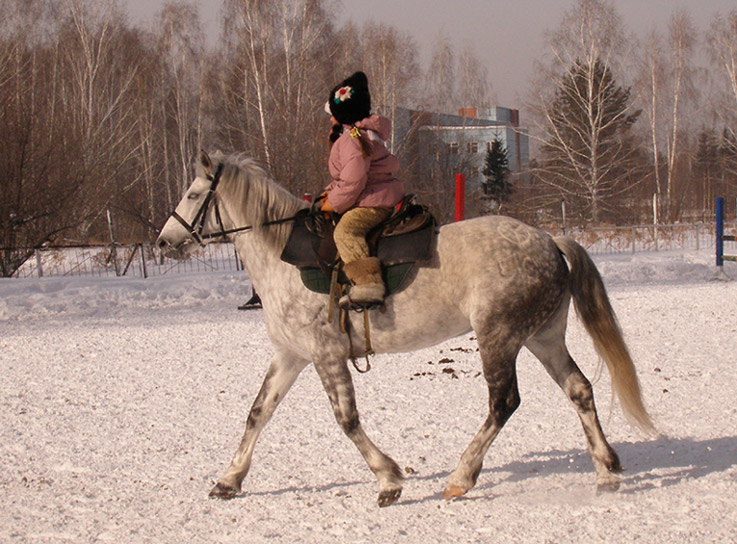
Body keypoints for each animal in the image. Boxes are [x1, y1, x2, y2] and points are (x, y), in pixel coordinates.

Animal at [155, 151, 656, 508]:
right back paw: (606, 471)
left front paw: (388, 479)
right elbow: (258, 413)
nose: (163, 241)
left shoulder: (325, 354)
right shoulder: (292, 355)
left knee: (504, 403)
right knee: (579, 389)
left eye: (194, 195)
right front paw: (229, 479)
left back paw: (460, 478)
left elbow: (347, 420)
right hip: (542, 338)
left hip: (498, 338)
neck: (284, 256)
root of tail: (549, 240)